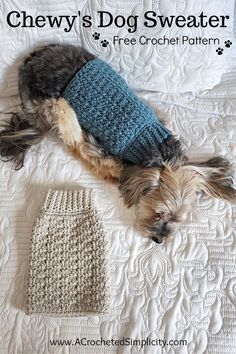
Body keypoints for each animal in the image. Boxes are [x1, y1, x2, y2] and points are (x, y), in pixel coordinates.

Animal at [0, 42, 236, 243]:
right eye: (158, 213)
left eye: (178, 219)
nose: (159, 240)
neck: (152, 143)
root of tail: (29, 61)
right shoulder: (97, 148)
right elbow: (106, 164)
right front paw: (115, 175)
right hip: (55, 106)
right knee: (68, 124)